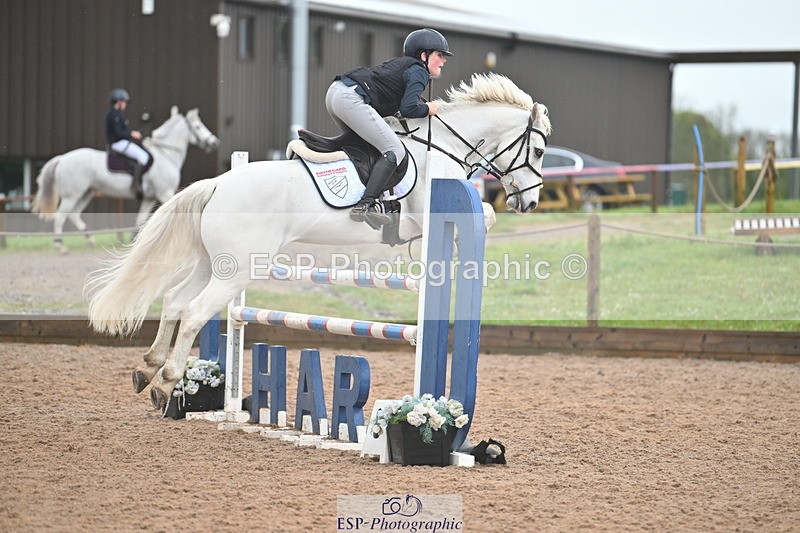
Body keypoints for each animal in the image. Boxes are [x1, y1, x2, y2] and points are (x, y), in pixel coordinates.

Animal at [31, 106, 220, 253]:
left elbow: (140, 220)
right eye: (197, 126)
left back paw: (90, 239)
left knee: (73, 214)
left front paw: (134, 241)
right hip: (73, 195)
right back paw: (60, 246)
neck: (166, 155)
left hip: (85, 194)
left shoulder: (149, 198)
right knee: (60, 216)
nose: (214, 143)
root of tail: (62, 158)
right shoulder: (165, 193)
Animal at [85, 73, 552, 412]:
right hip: (239, 270)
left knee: (175, 302)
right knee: (196, 311)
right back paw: (166, 383)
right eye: (540, 151)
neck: (444, 145)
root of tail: (217, 183)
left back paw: (149, 369)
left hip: (212, 262)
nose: (529, 203)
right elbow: (485, 215)